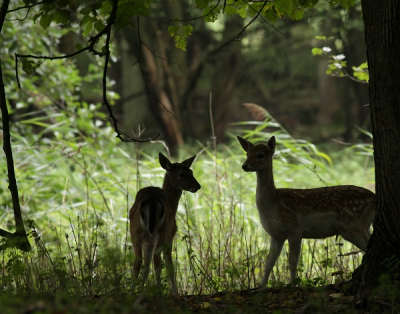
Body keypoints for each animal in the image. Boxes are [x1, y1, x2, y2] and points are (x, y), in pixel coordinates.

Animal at [130, 152, 202, 294]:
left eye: (191, 171)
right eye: (182, 174)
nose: (198, 186)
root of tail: (152, 200)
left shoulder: (148, 241)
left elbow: (146, 267)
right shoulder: (170, 235)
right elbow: (170, 266)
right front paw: (175, 292)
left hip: (135, 232)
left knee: (137, 263)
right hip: (161, 231)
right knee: (157, 261)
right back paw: (160, 293)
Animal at [238, 135, 376, 288]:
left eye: (260, 155)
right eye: (247, 154)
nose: (244, 165)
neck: (273, 203)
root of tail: (374, 198)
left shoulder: (295, 229)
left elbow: (292, 262)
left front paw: (293, 285)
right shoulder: (276, 235)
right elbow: (269, 263)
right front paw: (260, 287)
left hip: (350, 224)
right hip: (362, 225)